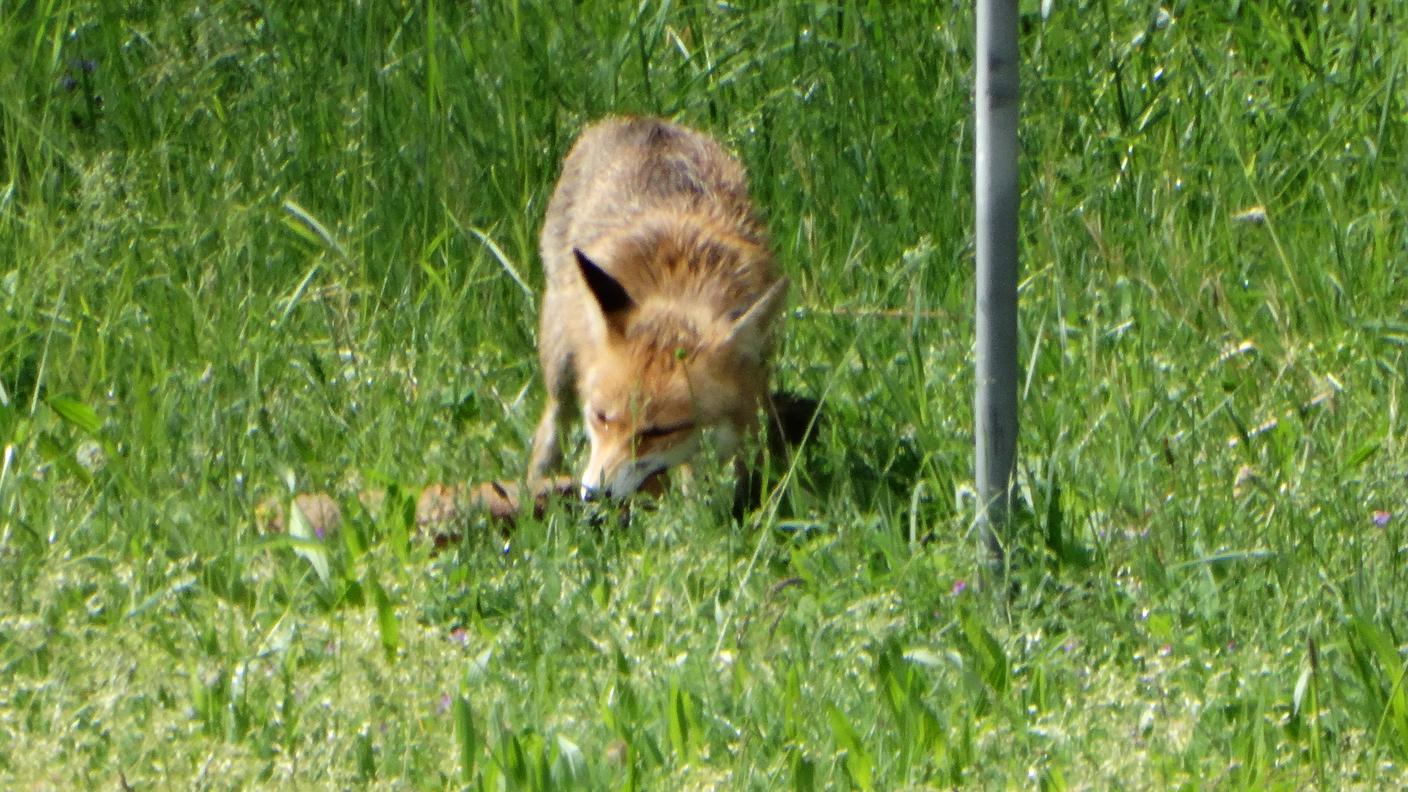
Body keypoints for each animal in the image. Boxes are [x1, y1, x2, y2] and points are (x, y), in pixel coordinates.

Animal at [529, 115, 794, 498]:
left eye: (659, 432)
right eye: (601, 417)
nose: (595, 495)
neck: (679, 288)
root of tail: (641, 119)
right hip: (561, 359)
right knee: (551, 423)